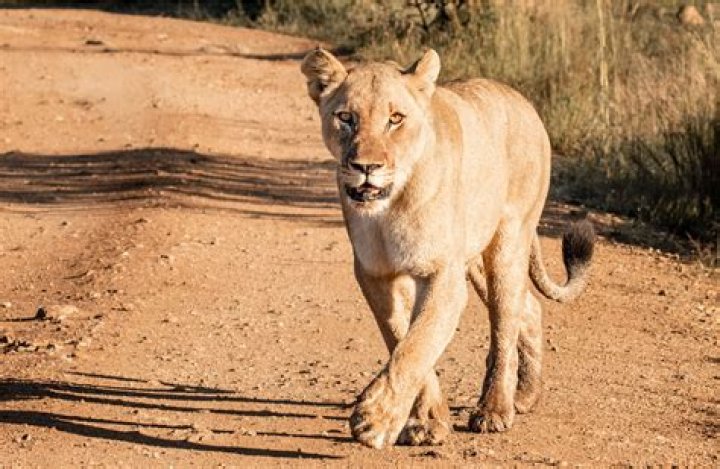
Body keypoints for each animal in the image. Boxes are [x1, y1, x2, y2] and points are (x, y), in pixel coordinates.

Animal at [300, 47, 595, 449]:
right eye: (346, 117)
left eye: (395, 119)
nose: (366, 167)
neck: (388, 208)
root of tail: (523, 101)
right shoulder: (376, 274)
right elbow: (400, 337)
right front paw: (426, 421)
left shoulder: (443, 274)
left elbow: (418, 343)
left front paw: (375, 419)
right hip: (474, 261)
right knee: (529, 308)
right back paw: (526, 395)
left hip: (507, 243)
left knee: (504, 324)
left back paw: (495, 409)